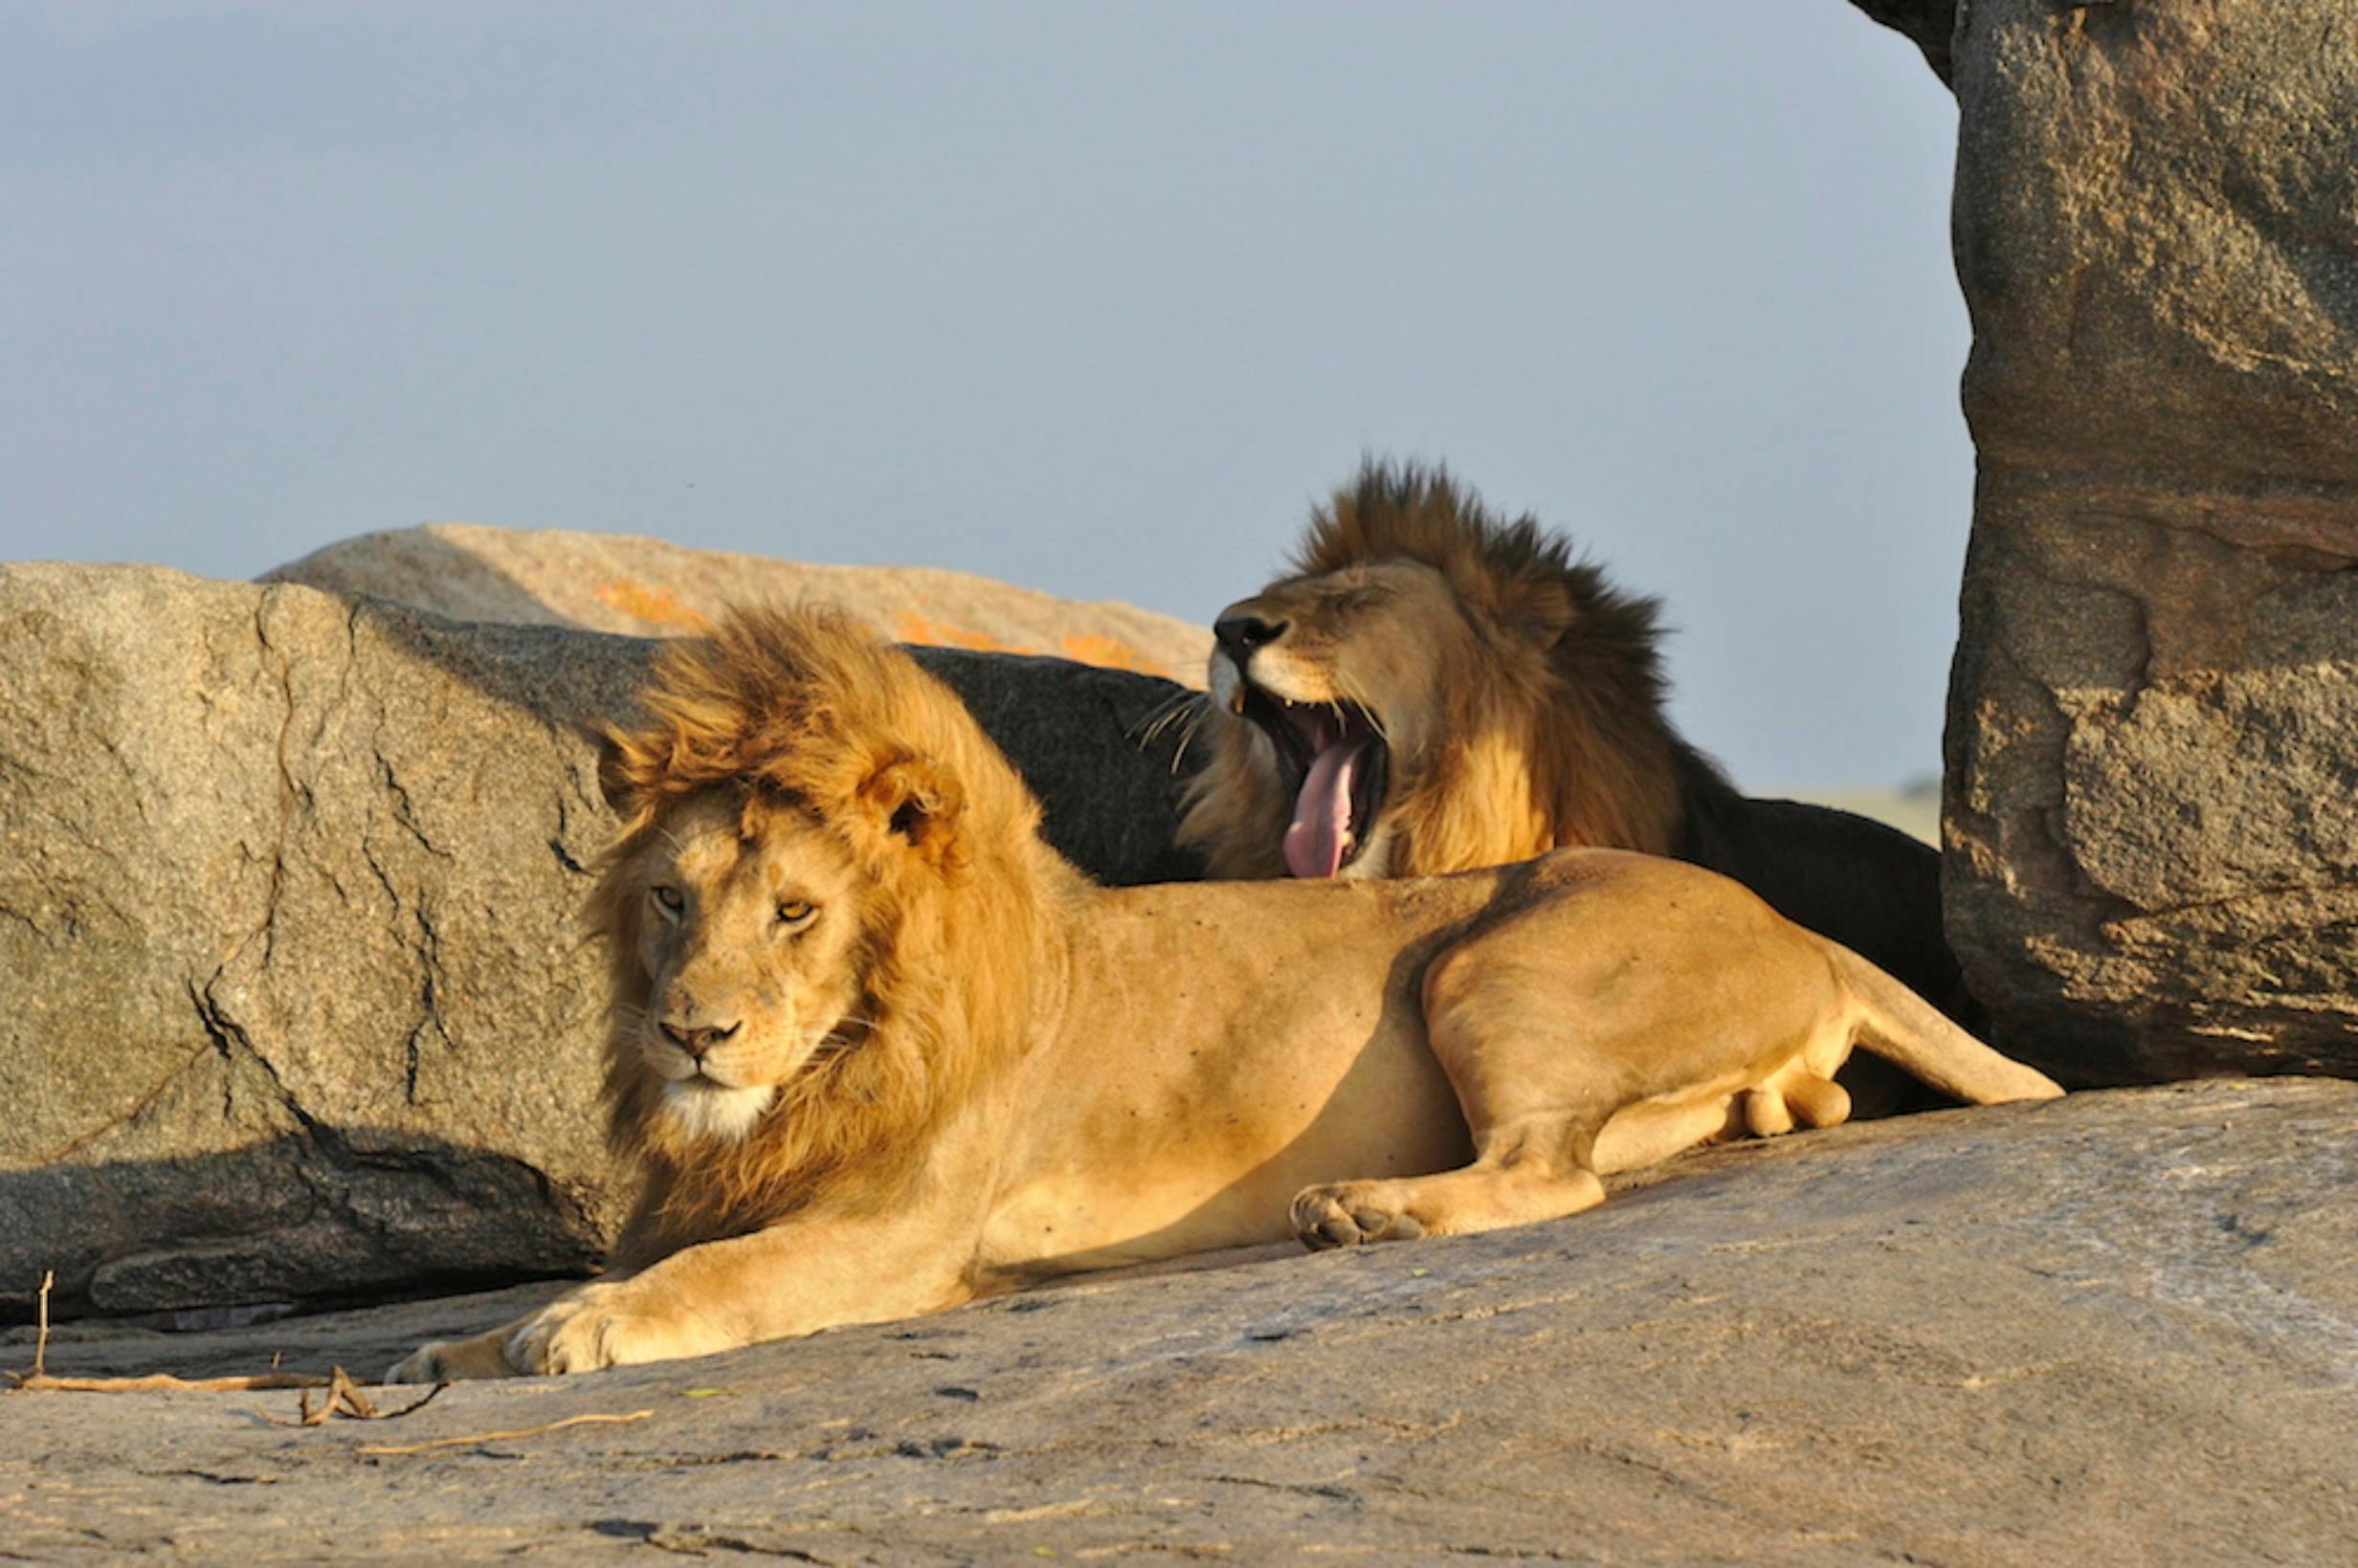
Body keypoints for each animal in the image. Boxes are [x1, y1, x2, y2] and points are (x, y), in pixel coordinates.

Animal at [388, 605, 2057, 1382]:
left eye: (795, 911)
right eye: (671, 898)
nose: (692, 1030)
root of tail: (1800, 925)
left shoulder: (900, 1230)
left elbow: (717, 1279)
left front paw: (580, 1326)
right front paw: (451, 1345)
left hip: (1485, 961)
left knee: (1549, 1174)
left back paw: (1367, 1210)